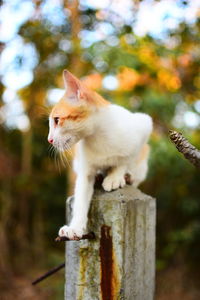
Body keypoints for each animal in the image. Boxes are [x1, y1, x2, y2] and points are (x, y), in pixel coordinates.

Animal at [47, 69, 153, 239]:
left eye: (57, 120)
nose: (49, 140)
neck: (97, 136)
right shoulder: (84, 171)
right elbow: (81, 198)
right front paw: (75, 227)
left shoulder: (144, 124)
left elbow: (126, 157)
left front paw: (116, 175)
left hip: (143, 162)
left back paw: (127, 177)